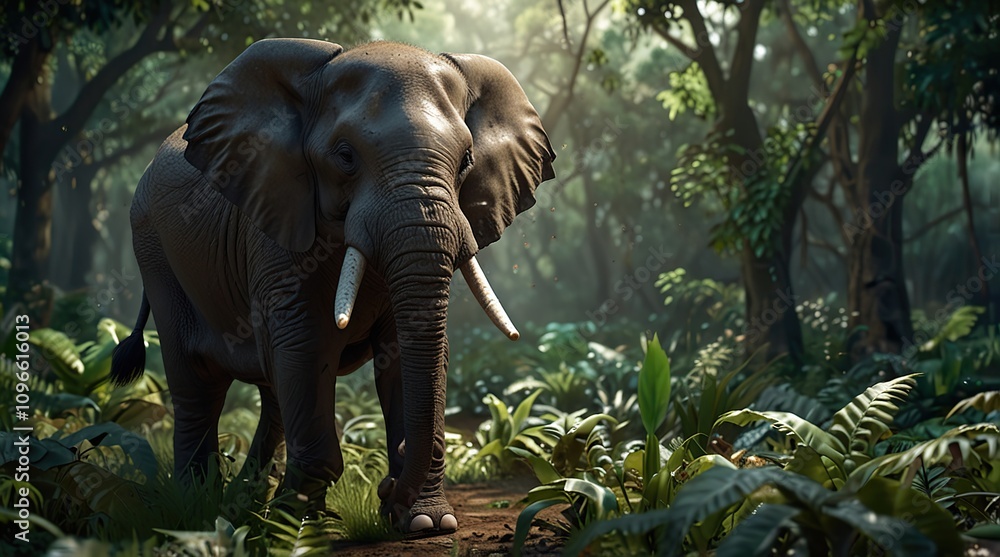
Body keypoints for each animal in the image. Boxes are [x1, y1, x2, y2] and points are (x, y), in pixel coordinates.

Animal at [109, 38, 555, 534]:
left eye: (466, 162)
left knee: (272, 389)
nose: (385, 488)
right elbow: (304, 343)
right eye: (345, 156)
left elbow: (404, 351)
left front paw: (425, 523)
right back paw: (201, 511)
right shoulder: (276, 224)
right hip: (154, 250)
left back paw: (248, 503)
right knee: (197, 383)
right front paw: (303, 531)